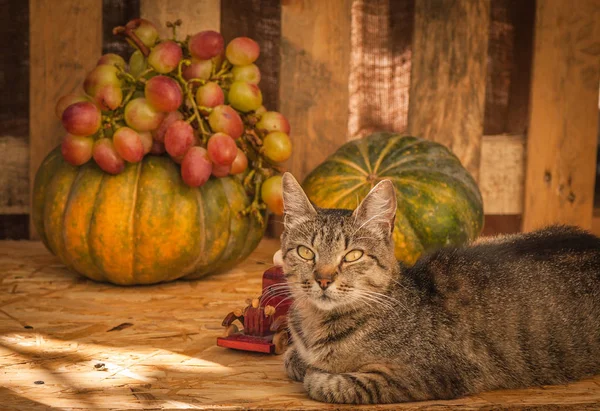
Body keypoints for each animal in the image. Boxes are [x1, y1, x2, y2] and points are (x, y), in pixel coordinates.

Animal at [280, 172, 600, 404]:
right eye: (306, 252)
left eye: (352, 256)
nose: (323, 279)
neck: (316, 323)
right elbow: (294, 359)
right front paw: (301, 360)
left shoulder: (426, 374)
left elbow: (332, 382)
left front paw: (317, 372)